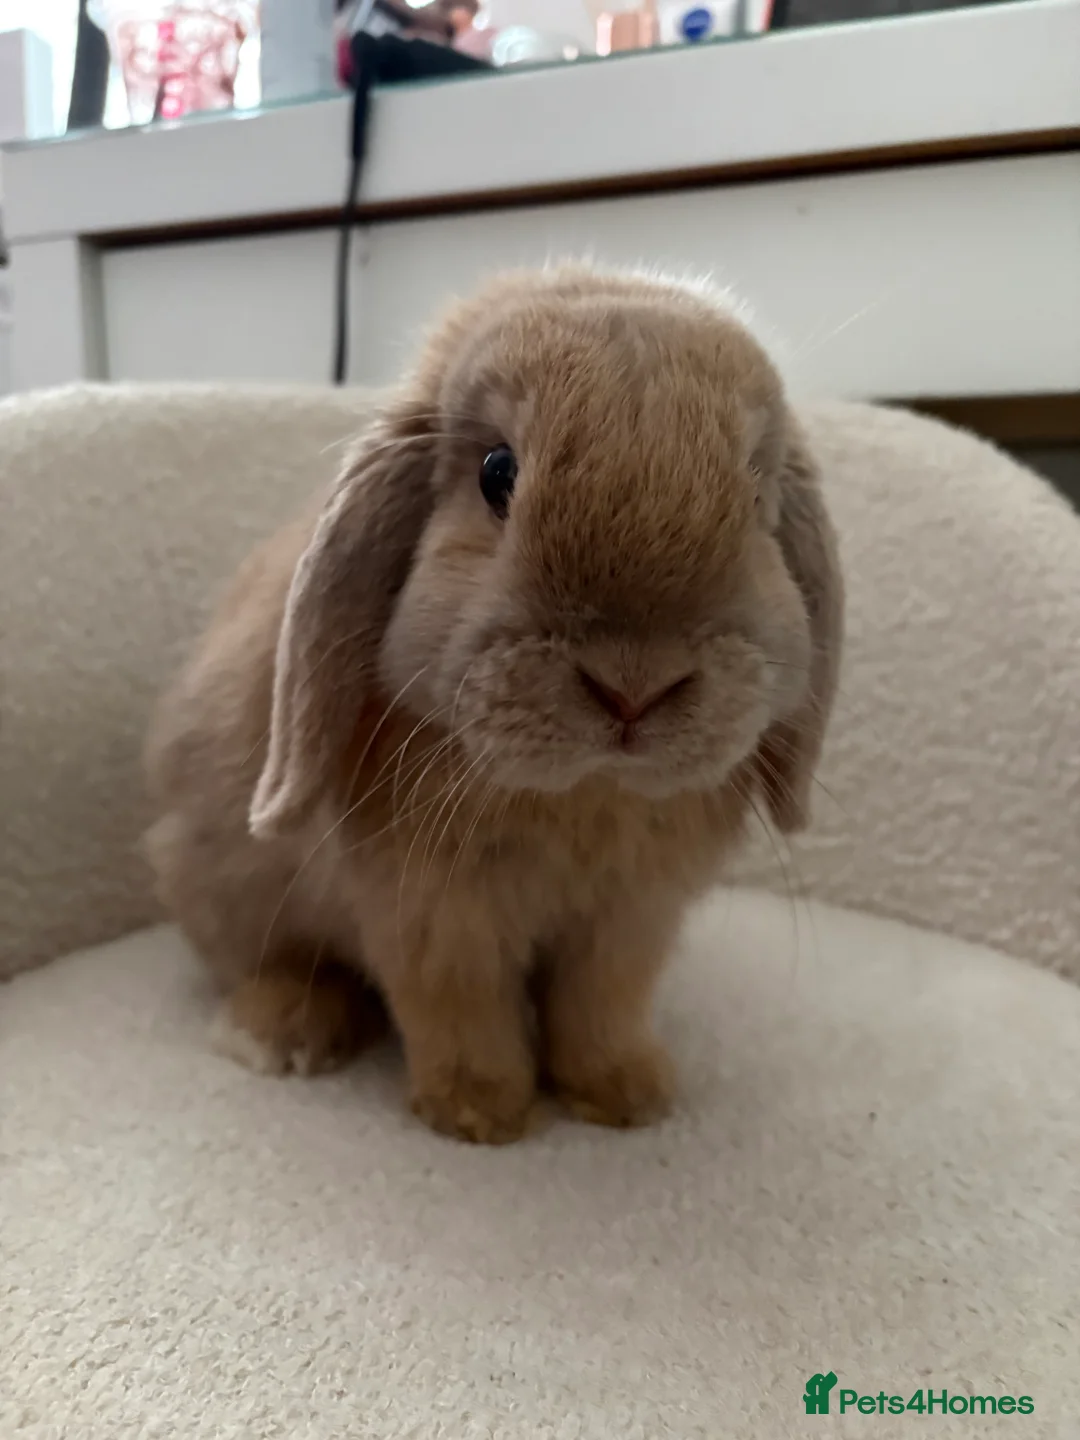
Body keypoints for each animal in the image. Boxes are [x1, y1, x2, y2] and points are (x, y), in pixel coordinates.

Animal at [145, 264, 843, 1144]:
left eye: (755, 495)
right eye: (497, 473)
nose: (634, 688)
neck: (587, 791)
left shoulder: (628, 923)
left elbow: (600, 1007)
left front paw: (627, 1095)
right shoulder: (431, 916)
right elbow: (458, 1008)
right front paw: (479, 1114)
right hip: (220, 890)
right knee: (282, 966)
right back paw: (277, 1032)